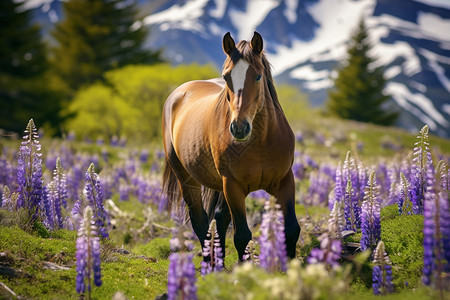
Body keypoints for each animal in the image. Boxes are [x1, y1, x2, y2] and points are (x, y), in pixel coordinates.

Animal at [162, 31, 298, 258]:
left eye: (258, 76)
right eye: (226, 77)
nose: (239, 128)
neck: (261, 143)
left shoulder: (284, 181)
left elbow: (292, 230)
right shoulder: (233, 186)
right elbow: (242, 236)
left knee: (218, 220)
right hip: (187, 178)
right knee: (200, 222)